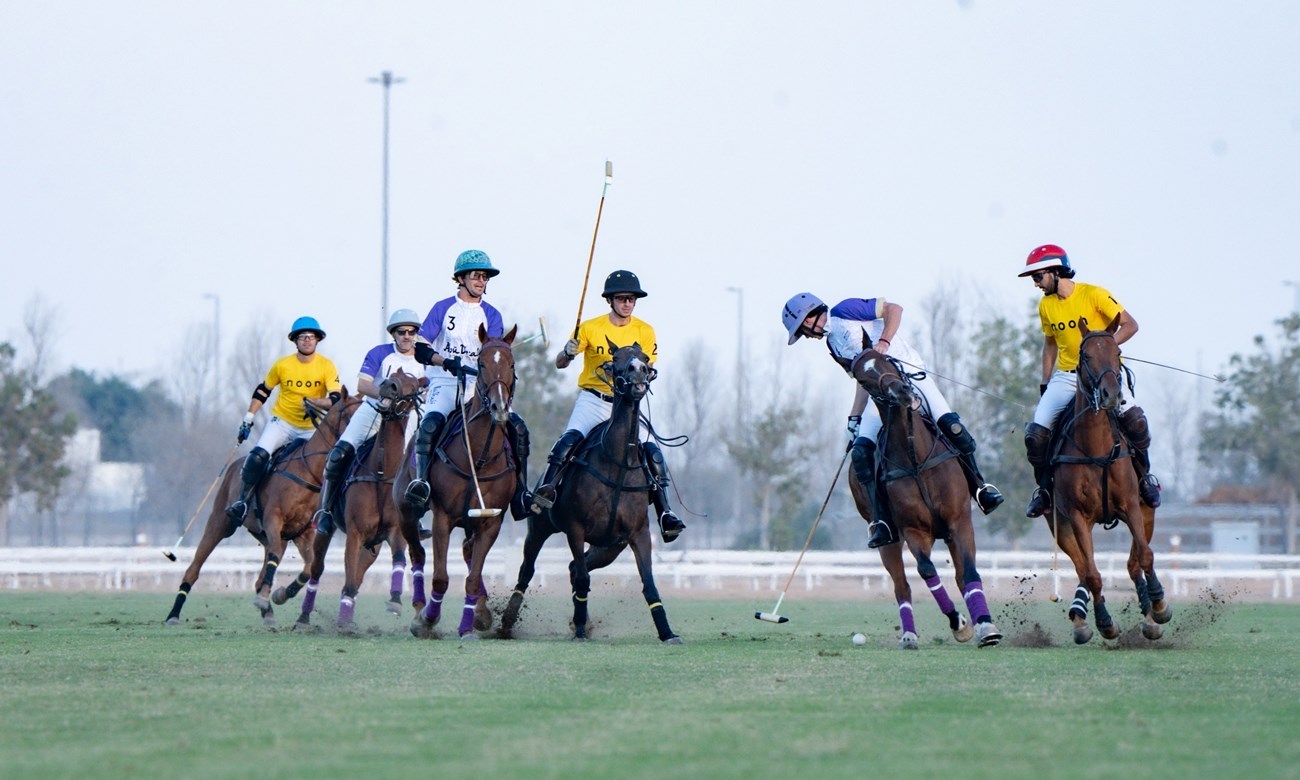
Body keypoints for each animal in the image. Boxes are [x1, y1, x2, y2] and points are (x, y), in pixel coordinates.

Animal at [169, 390, 361, 626]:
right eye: (352, 415)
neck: (309, 473)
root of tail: (234, 465)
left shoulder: (303, 533)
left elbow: (308, 567)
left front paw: (281, 595)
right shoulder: (273, 519)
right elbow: (278, 558)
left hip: (267, 535)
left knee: (262, 573)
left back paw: (267, 610)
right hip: (220, 524)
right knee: (193, 569)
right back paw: (173, 614)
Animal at [397, 325, 514, 639]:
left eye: (512, 364)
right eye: (482, 364)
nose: (499, 407)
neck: (480, 458)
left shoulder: (491, 522)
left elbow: (472, 578)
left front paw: (468, 626)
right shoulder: (443, 517)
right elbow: (440, 577)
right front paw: (428, 620)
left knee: (468, 553)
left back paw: (481, 614)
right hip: (406, 511)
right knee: (417, 554)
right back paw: (418, 612)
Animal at [496, 343, 681, 642]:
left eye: (644, 358)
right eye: (615, 360)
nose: (639, 374)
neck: (618, 463)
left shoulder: (639, 533)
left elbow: (649, 583)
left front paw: (667, 632)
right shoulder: (575, 528)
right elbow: (583, 578)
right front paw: (581, 630)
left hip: (610, 547)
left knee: (575, 567)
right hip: (539, 529)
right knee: (528, 570)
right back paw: (508, 621)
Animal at [847, 343, 998, 650]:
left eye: (888, 361)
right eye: (863, 380)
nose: (904, 392)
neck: (915, 458)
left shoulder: (959, 522)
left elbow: (970, 573)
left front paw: (986, 627)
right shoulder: (913, 530)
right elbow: (927, 571)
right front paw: (959, 623)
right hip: (888, 538)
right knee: (901, 584)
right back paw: (909, 634)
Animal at [1040, 313, 1175, 642]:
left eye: (1117, 353)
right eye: (1086, 355)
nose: (1111, 395)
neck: (1096, 448)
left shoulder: (1130, 505)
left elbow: (1145, 556)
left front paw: (1159, 605)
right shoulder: (1077, 517)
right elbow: (1092, 573)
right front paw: (1104, 622)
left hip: (1147, 511)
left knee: (1133, 562)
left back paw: (1149, 614)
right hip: (1060, 526)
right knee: (1083, 568)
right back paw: (1080, 619)